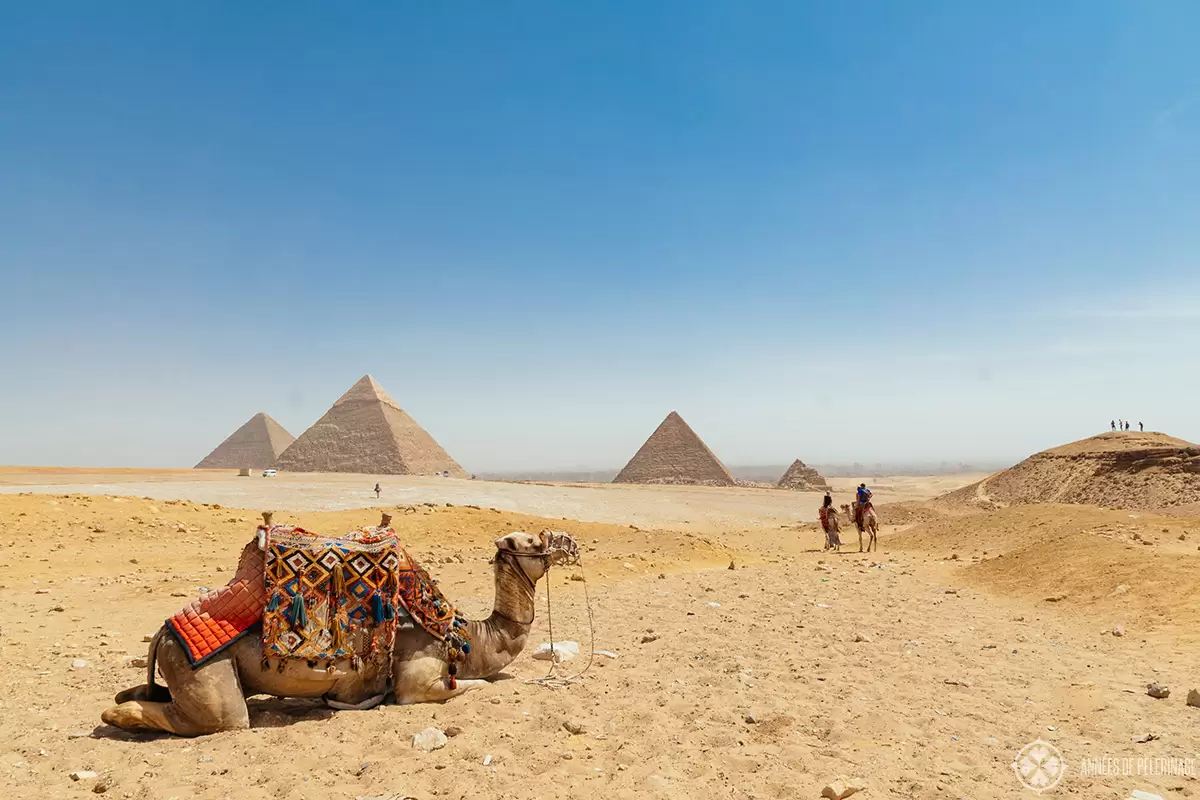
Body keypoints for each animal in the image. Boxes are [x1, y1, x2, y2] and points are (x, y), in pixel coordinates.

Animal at [100, 525, 578, 738]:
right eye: (536, 543)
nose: (570, 543)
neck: (465, 634)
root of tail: (163, 632)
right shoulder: (416, 674)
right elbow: (468, 687)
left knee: (146, 693)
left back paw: (125, 700)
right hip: (210, 679)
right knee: (221, 718)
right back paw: (117, 716)